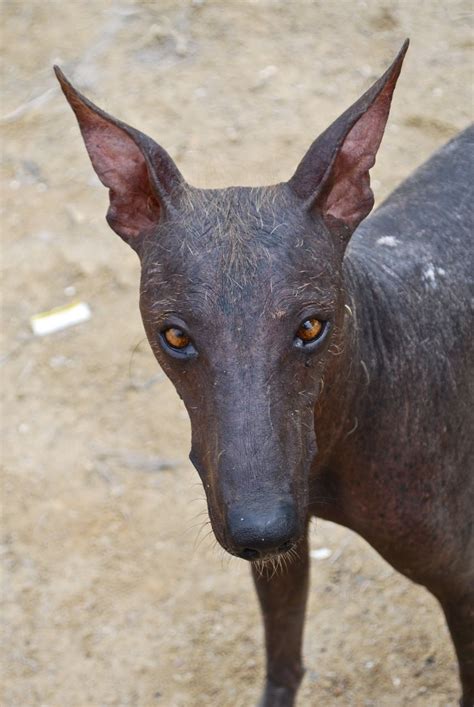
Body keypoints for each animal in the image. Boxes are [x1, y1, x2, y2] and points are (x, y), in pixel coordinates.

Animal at [53, 41, 472, 704]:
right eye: (176, 336)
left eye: (311, 326)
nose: (261, 529)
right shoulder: (281, 547)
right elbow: (283, 665)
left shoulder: (463, 583)